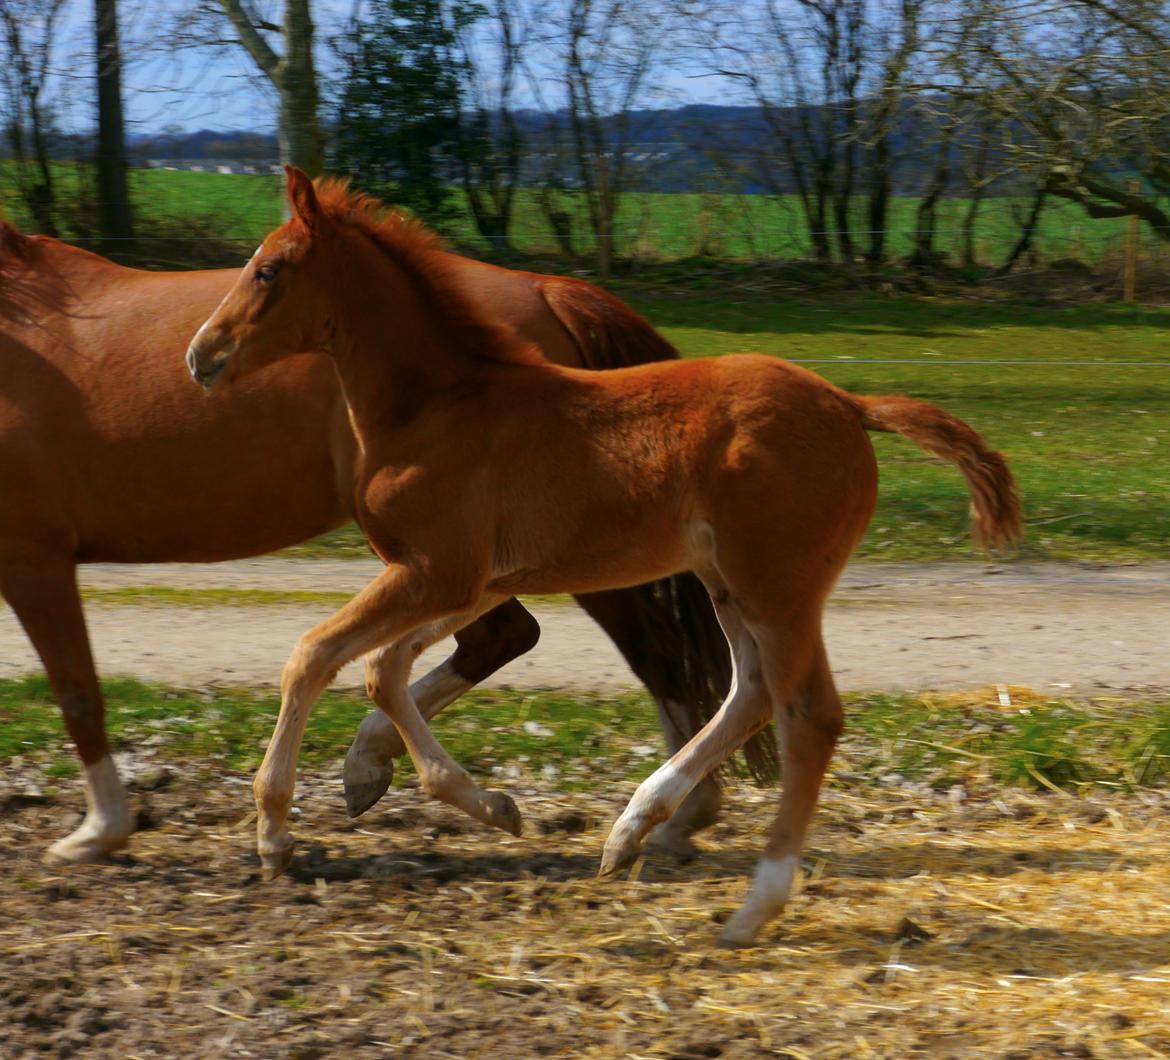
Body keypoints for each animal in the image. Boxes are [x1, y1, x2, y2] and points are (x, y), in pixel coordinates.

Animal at [0, 216, 758, 865]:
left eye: (268, 272)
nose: (201, 356)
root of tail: (549, 288)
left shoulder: (33, 555)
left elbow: (77, 690)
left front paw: (101, 831)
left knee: (647, 651)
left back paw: (673, 817)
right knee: (503, 638)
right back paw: (376, 765)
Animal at [187, 169, 1020, 945]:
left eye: (269, 269)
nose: (201, 356)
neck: (435, 408)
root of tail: (850, 404)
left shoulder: (436, 571)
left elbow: (314, 655)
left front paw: (275, 834)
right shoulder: (473, 578)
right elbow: (382, 669)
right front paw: (480, 802)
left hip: (776, 584)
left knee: (808, 715)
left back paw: (752, 905)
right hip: (726, 582)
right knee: (751, 692)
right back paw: (631, 831)